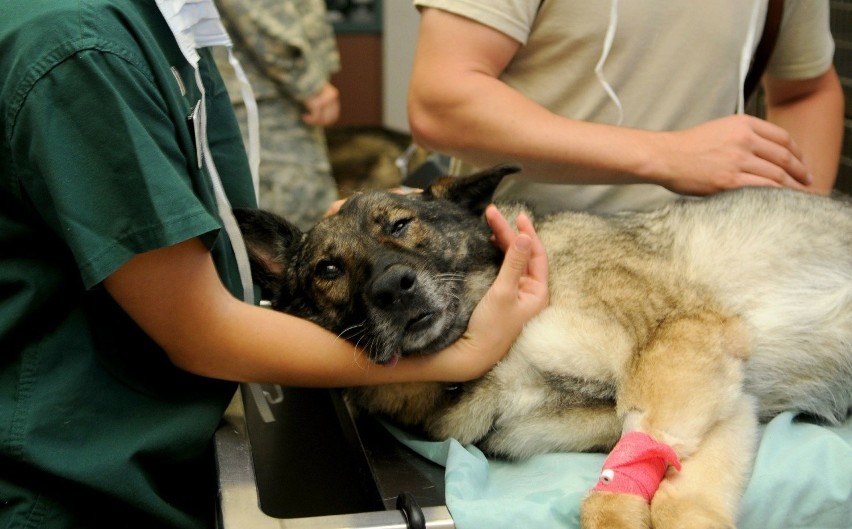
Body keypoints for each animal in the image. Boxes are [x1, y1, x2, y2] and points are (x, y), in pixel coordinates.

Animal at [236, 165, 852, 528]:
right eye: (328, 269)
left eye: (401, 223)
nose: (393, 287)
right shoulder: (720, 399)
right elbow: (676, 490)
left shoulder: (682, 342)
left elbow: (635, 488)